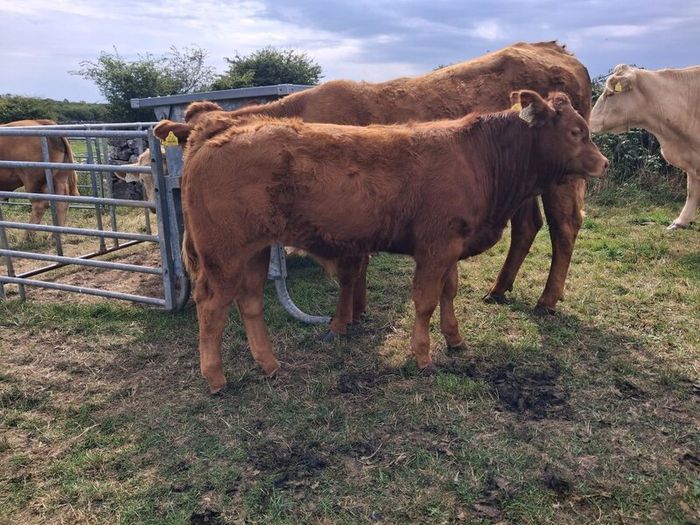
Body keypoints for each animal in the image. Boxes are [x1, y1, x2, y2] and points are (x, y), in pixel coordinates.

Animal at [166, 41, 593, 322]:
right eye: (185, 152)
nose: (190, 250)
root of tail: (554, 49)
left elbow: (355, 265)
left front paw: (352, 315)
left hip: (561, 178)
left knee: (564, 226)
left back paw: (547, 300)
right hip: (521, 184)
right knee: (527, 226)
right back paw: (499, 289)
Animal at [171, 91, 608, 393]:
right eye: (576, 132)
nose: (604, 162)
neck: (478, 157)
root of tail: (217, 133)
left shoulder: (451, 246)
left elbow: (449, 291)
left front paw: (455, 339)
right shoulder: (435, 247)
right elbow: (426, 300)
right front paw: (423, 354)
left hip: (254, 251)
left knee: (249, 302)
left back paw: (269, 364)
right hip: (223, 255)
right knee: (211, 307)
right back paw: (216, 379)